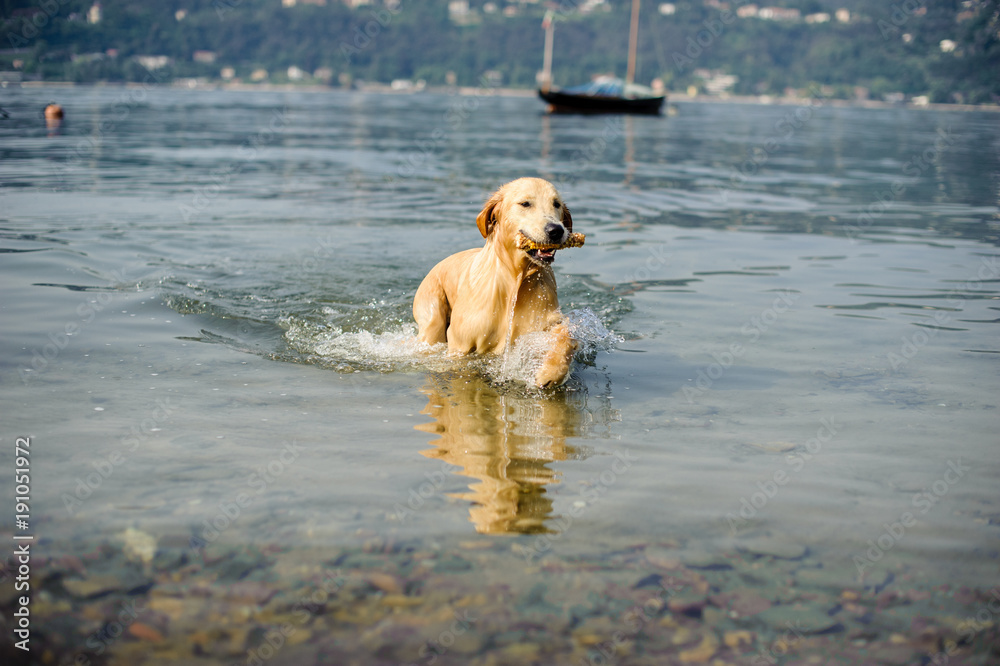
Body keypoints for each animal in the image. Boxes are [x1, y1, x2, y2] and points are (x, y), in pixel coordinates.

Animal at [412, 176, 580, 386]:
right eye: (525, 203)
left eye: (556, 204)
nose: (556, 230)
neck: (515, 280)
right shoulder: (461, 342)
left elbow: (565, 334)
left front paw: (551, 373)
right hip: (432, 317)